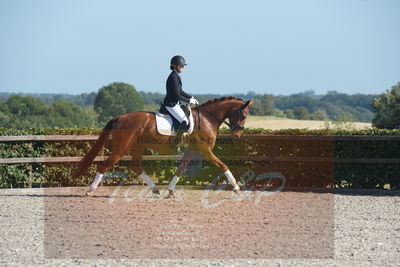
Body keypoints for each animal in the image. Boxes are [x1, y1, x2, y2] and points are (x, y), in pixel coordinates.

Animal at [72, 97, 253, 198]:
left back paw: (155, 189)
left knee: (136, 166)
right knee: (106, 165)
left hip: (137, 147)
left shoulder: (192, 150)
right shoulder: (205, 150)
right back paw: (90, 190)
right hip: (121, 148)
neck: (208, 118)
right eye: (243, 115)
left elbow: (181, 169)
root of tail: (119, 117)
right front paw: (237, 188)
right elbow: (223, 165)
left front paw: (171, 190)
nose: (237, 135)